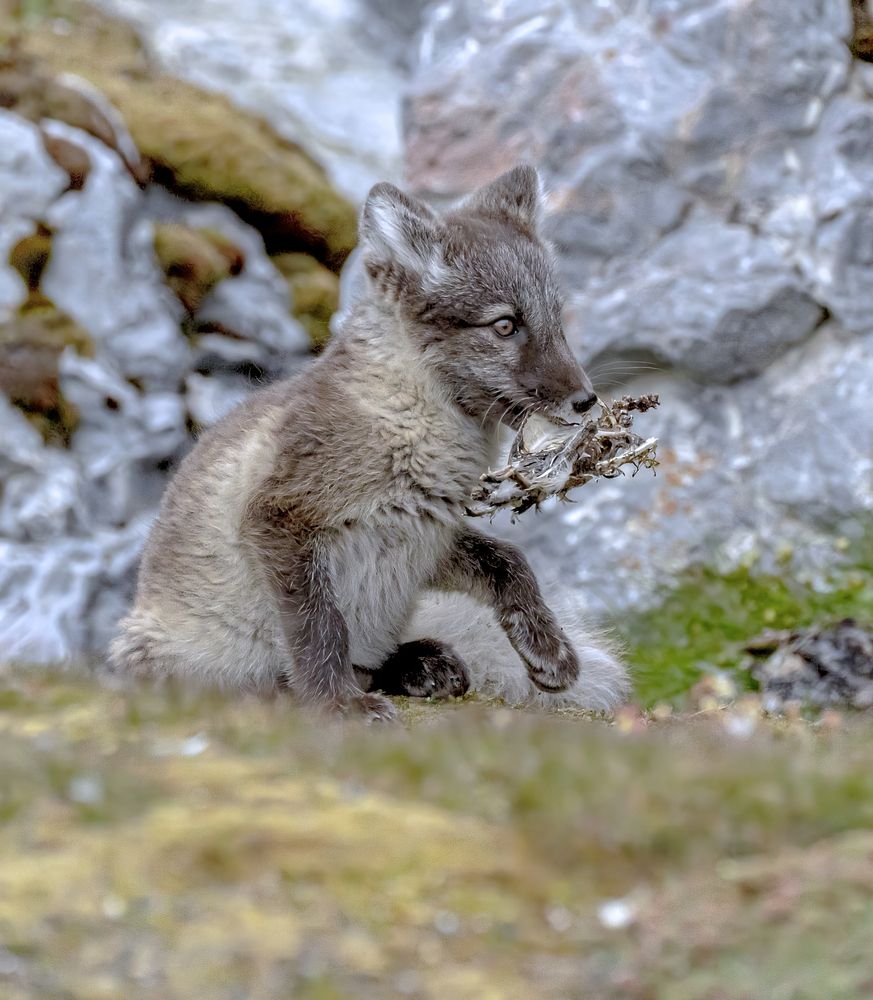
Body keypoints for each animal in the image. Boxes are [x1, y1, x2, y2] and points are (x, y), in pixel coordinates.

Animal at [109, 165, 629, 720]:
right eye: (505, 325)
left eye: (557, 318)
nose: (586, 400)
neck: (409, 421)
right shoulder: (280, 516)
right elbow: (321, 626)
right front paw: (338, 704)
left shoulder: (425, 535)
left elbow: (508, 559)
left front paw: (549, 650)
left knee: (378, 658)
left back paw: (423, 664)